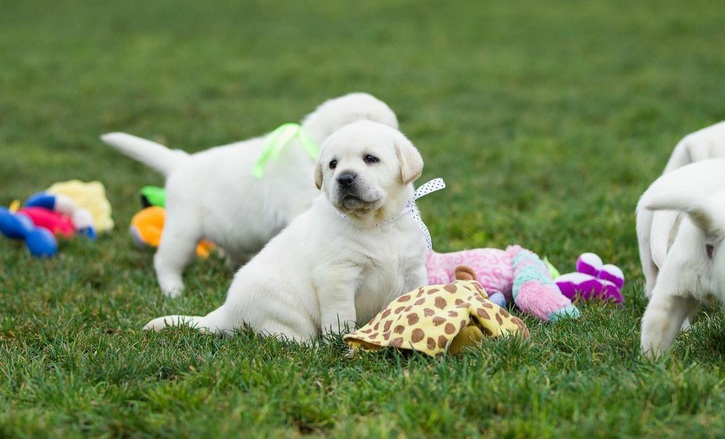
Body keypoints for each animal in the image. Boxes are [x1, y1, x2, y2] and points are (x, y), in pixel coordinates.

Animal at [146, 121, 430, 344]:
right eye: (333, 164)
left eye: (371, 158)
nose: (345, 178)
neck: (380, 224)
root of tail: (226, 311)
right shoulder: (337, 277)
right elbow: (341, 315)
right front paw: (341, 343)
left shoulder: (413, 271)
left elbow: (414, 298)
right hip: (280, 309)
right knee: (287, 335)